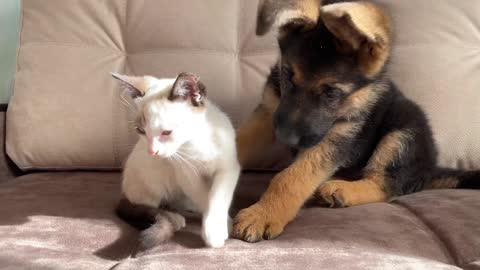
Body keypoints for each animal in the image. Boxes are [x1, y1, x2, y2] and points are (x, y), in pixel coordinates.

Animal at [111, 72, 240, 249]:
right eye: (141, 131)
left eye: (167, 132)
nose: (152, 151)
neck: (196, 142)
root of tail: (123, 192)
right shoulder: (187, 176)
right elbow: (204, 197)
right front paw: (220, 228)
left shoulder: (228, 168)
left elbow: (217, 196)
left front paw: (217, 226)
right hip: (151, 180)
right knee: (152, 207)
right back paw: (176, 218)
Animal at [232, 0, 476, 244]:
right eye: (287, 74)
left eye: (331, 93)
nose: (284, 138)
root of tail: (430, 169)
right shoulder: (269, 110)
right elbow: (239, 140)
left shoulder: (340, 135)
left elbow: (292, 177)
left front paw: (263, 214)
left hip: (404, 131)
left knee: (387, 185)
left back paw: (342, 191)